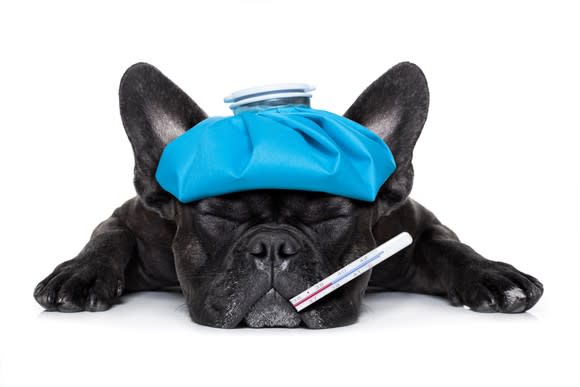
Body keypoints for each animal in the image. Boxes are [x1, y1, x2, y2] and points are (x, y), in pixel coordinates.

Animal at [32, 62, 544, 328]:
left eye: (330, 216)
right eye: (218, 215)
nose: (273, 245)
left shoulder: (416, 228)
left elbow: (450, 245)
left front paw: (494, 274)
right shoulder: (132, 217)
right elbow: (107, 236)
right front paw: (78, 274)